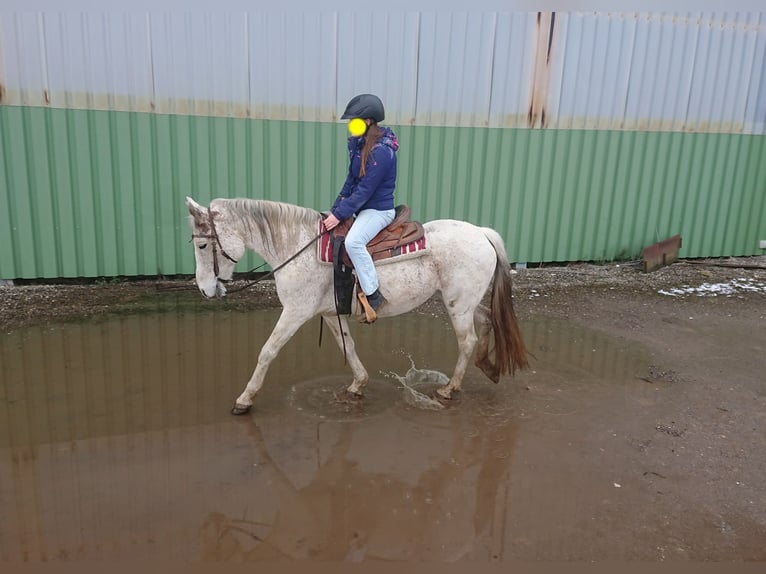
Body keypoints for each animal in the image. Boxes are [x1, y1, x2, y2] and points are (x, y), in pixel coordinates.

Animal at [186, 196, 528, 415]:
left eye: (202, 245)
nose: (204, 289)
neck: (299, 248)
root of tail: (482, 232)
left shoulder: (296, 312)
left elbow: (267, 351)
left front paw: (244, 399)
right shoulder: (328, 313)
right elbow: (347, 346)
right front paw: (358, 384)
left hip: (457, 304)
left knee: (467, 340)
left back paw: (449, 388)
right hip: (467, 301)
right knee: (486, 320)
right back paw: (488, 367)